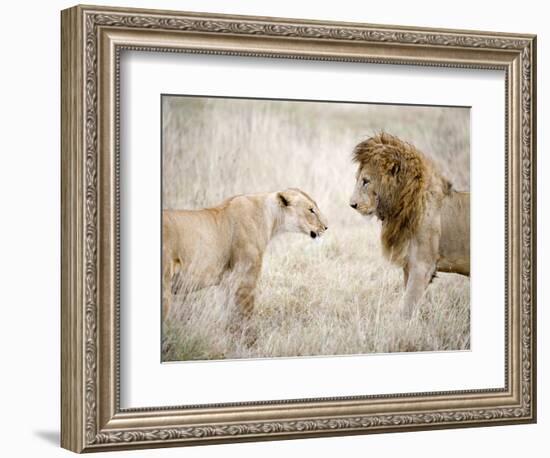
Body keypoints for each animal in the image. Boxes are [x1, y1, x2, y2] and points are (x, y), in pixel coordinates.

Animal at [163, 188, 328, 324]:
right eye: (311, 210)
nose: (326, 227)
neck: (271, 218)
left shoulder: (227, 282)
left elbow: (228, 314)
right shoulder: (245, 279)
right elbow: (245, 317)